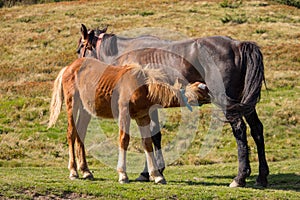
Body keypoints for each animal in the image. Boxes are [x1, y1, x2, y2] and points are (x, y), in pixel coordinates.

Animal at [49, 57, 207, 184]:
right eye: (201, 92)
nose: (209, 90)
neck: (143, 87)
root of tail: (68, 67)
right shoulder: (124, 113)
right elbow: (124, 140)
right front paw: (123, 175)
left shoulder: (143, 117)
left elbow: (147, 143)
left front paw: (156, 175)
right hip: (72, 104)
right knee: (71, 133)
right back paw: (73, 171)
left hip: (85, 110)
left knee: (80, 134)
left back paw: (86, 171)